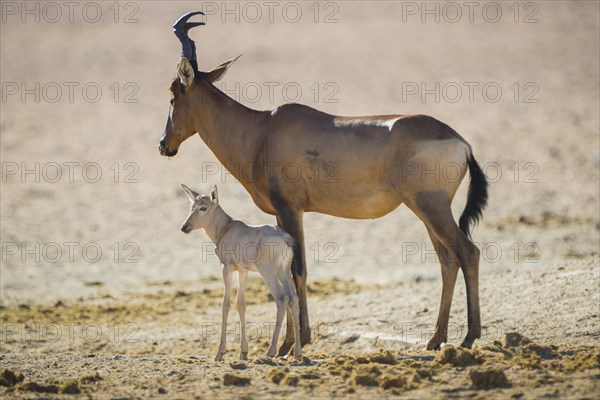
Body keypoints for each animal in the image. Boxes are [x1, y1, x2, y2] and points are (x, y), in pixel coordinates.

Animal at [178, 186, 300, 360]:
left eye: (203, 208)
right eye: (191, 206)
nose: (184, 227)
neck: (226, 227)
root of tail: (285, 238)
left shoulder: (226, 268)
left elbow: (226, 304)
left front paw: (220, 353)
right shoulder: (242, 271)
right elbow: (241, 304)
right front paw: (243, 352)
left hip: (268, 273)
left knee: (282, 299)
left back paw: (271, 351)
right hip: (283, 272)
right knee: (294, 298)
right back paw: (298, 353)